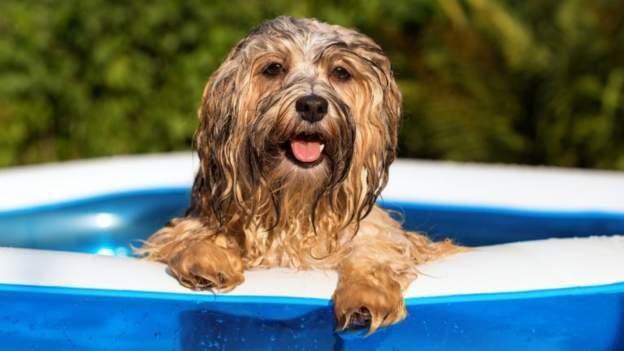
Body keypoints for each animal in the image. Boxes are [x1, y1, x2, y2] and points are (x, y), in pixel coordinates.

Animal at [139, 16, 460, 334]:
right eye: (273, 68)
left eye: (340, 72)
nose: (313, 105)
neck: (296, 204)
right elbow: (188, 236)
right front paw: (205, 259)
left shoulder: (379, 235)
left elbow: (373, 253)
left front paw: (366, 296)